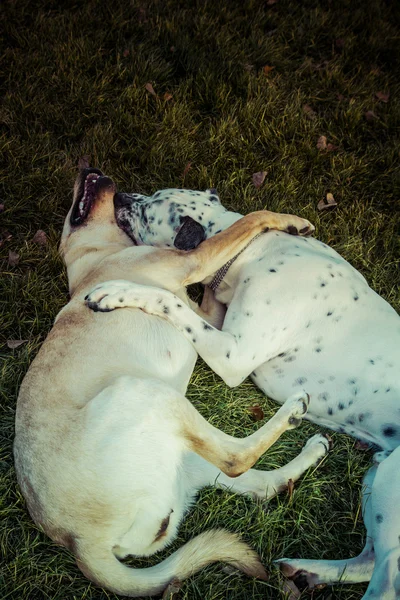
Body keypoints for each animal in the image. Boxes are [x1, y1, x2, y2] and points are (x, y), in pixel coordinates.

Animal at [14, 170, 332, 600]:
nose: (91, 170)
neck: (92, 259)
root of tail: (79, 543)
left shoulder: (205, 314)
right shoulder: (192, 261)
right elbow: (250, 219)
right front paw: (290, 221)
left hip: (184, 456)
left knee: (259, 485)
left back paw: (310, 451)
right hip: (143, 393)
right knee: (236, 458)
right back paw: (293, 412)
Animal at [86, 188, 400, 600]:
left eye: (148, 209)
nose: (121, 195)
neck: (255, 252)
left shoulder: (234, 355)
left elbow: (169, 300)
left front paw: (120, 290)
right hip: (378, 481)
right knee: (368, 560)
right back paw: (306, 571)